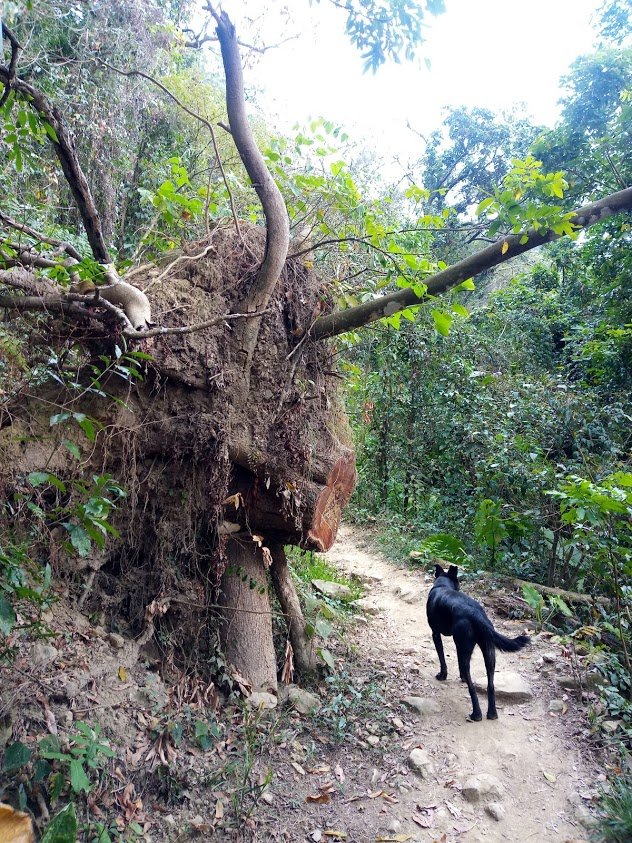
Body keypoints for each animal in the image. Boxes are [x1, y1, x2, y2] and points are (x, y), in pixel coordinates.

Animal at [428, 568, 532, 720]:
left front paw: (442, 676)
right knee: (491, 684)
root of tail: (477, 615)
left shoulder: (436, 634)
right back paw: (492, 713)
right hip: (489, 652)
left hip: (466, 648)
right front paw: (461, 677)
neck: (442, 585)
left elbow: (442, 658)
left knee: (472, 686)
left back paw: (476, 714)